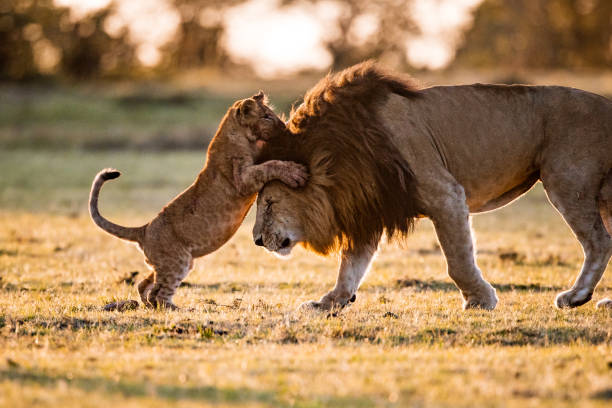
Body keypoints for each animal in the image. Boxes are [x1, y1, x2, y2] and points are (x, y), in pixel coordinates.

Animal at [251, 59, 608, 310]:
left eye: (269, 203)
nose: (256, 240)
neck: (341, 154)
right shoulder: (370, 202)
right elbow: (351, 265)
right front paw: (329, 303)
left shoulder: (445, 194)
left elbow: (458, 260)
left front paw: (480, 300)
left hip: (567, 183)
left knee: (599, 242)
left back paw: (576, 296)